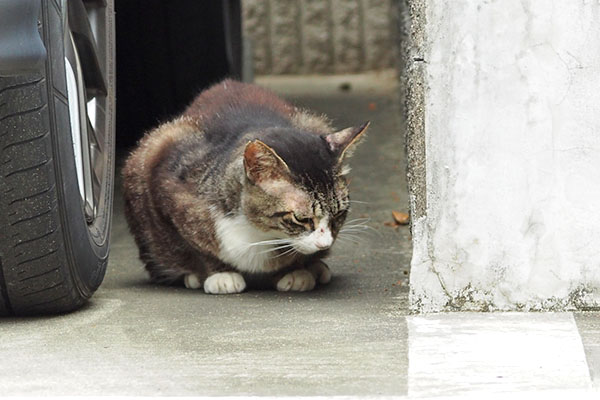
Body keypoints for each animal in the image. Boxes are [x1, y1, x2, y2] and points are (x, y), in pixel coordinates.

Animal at [121, 79, 366, 294]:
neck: (258, 230)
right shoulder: (168, 189)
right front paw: (219, 274)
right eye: (301, 218)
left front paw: (295, 271)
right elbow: (195, 246)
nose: (324, 245)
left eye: (339, 214)